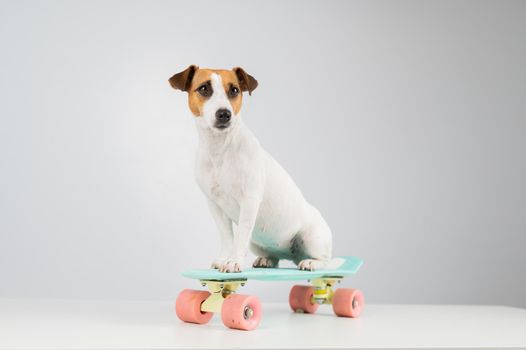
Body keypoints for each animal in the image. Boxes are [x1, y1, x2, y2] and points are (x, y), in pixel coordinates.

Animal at [170, 66, 334, 274]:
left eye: (234, 90)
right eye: (204, 88)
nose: (224, 113)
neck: (220, 149)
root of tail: (291, 255)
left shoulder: (249, 200)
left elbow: (240, 235)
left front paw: (233, 262)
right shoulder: (214, 204)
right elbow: (227, 236)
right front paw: (223, 259)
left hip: (312, 237)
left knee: (326, 259)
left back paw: (312, 263)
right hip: (258, 244)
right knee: (275, 256)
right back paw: (267, 259)